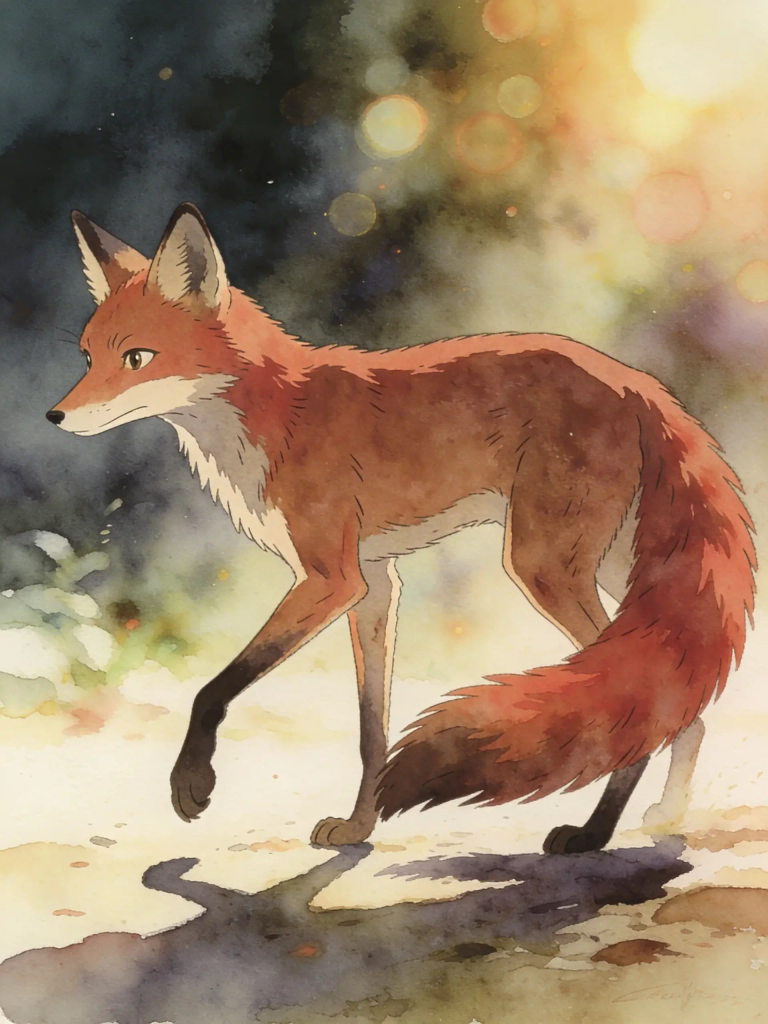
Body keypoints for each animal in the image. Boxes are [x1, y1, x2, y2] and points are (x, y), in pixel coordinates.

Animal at [48, 202, 756, 854]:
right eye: (86, 357)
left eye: (137, 358)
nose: (55, 416)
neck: (271, 417)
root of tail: (636, 380)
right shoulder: (374, 584)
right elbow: (373, 730)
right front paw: (360, 826)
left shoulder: (330, 579)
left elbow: (211, 690)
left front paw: (191, 785)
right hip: (615, 566)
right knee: (680, 703)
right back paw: (665, 816)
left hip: (544, 565)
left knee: (637, 694)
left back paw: (593, 835)